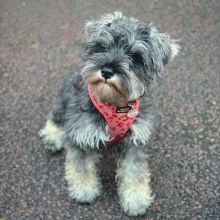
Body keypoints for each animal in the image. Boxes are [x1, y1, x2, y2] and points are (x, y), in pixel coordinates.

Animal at [39, 11, 179, 216]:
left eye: (134, 56)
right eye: (102, 47)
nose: (106, 71)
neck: (114, 105)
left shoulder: (134, 143)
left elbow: (134, 171)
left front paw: (136, 199)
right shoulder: (81, 134)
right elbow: (81, 166)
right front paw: (84, 190)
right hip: (63, 101)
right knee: (55, 118)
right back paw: (52, 136)